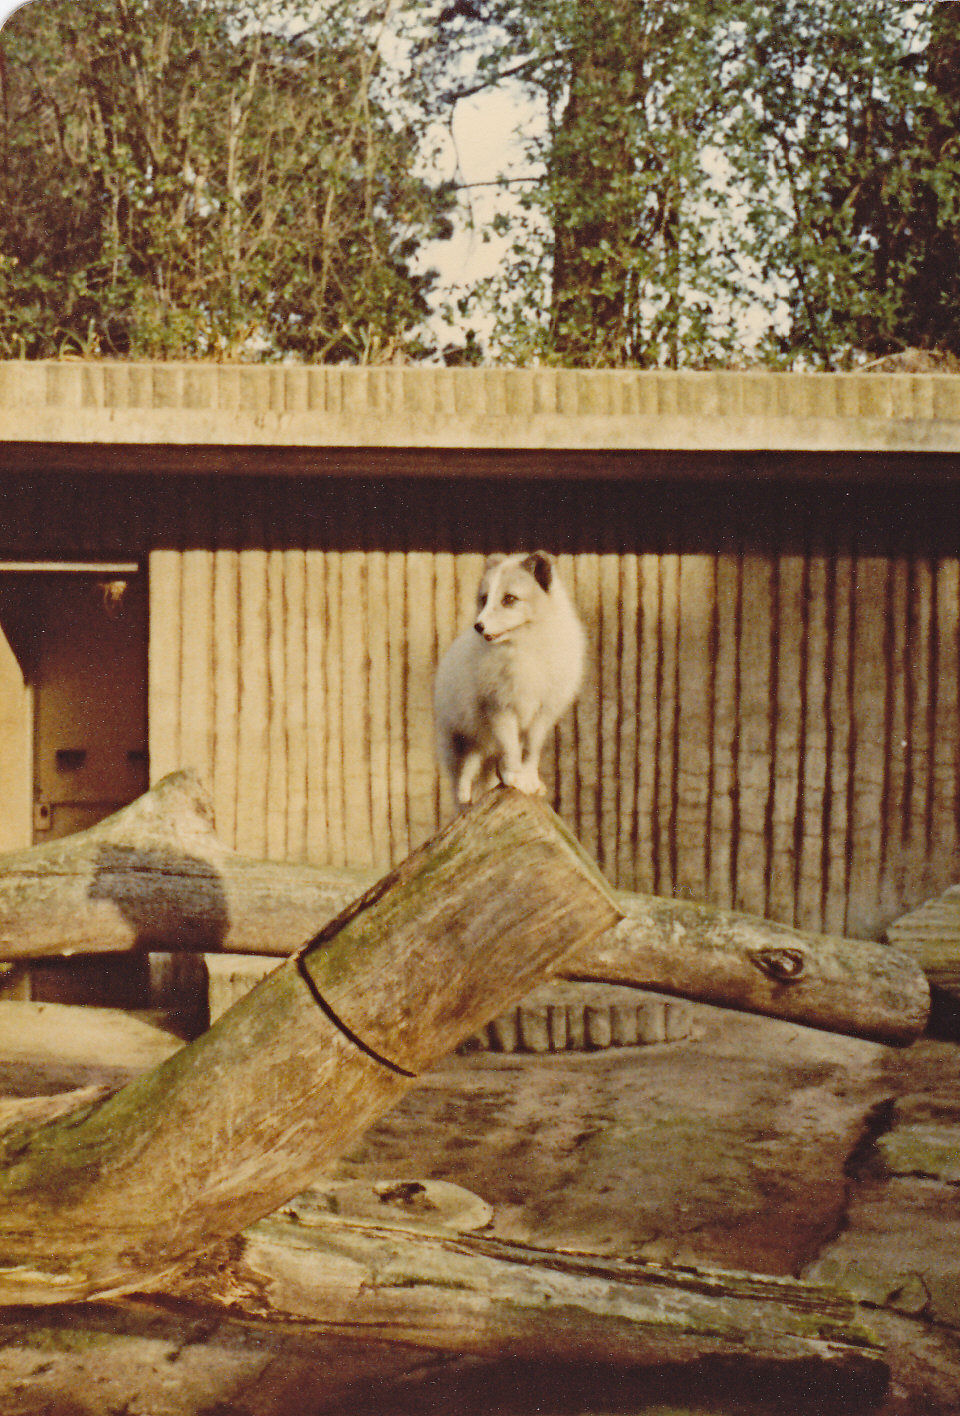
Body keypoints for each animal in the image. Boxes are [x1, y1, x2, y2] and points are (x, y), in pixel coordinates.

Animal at [434, 551, 585, 809]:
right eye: (484, 599)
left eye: (509, 599)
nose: (478, 626)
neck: (526, 647)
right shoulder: (500, 708)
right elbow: (511, 749)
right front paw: (516, 777)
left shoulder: (542, 713)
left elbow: (531, 750)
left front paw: (529, 779)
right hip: (462, 740)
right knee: (463, 776)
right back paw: (466, 799)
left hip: (483, 745)